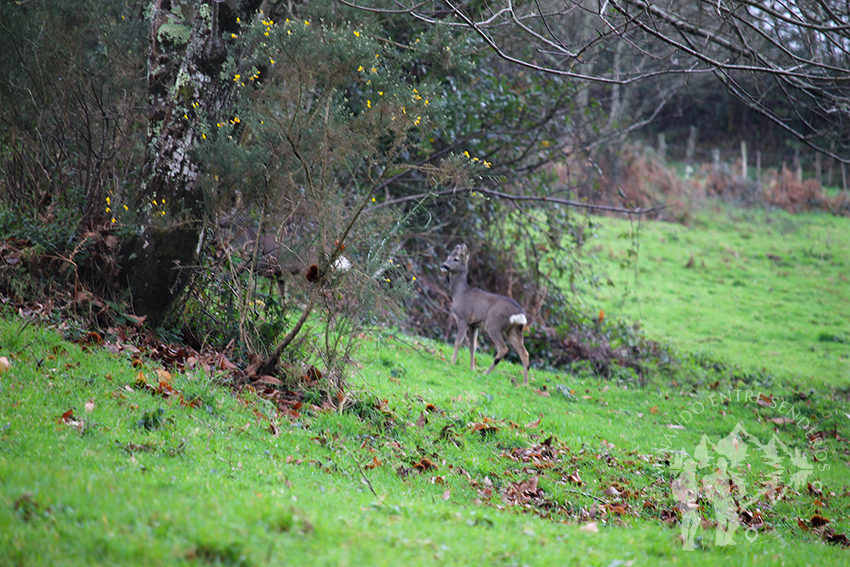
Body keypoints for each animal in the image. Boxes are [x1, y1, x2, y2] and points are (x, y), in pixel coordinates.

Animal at [440, 244, 528, 386]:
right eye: (448, 256)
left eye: (456, 259)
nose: (443, 265)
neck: (460, 293)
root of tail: (520, 314)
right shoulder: (474, 325)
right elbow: (472, 346)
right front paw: (472, 368)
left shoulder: (463, 318)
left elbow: (458, 341)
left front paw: (452, 363)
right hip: (514, 330)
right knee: (524, 353)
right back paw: (525, 383)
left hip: (493, 324)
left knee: (503, 349)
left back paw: (485, 373)